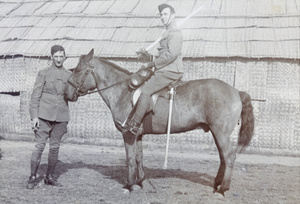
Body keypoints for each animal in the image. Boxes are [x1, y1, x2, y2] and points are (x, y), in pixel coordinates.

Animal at [64, 48, 254, 195]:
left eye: (78, 70)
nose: (66, 93)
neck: (124, 91)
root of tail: (236, 91)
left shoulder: (128, 134)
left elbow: (130, 159)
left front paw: (129, 185)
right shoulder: (137, 134)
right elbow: (139, 157)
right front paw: (140, 182)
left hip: (221, 133)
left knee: (229, 156)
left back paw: (223, 189)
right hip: (217, 133)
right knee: (223, 158)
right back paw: (216, 184)